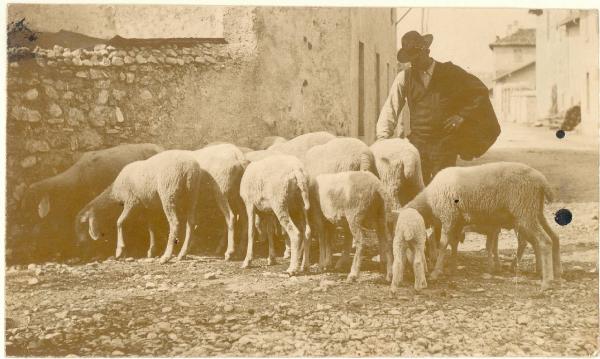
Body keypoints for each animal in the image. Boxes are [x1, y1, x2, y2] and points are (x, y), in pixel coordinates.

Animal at [406, 162, 560, 292]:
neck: (428, 202)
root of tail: (541, 180)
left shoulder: (449, 216)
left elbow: (443, 245)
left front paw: (436, 272)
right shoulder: (457, 222)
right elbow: (454, 245)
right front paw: (453, 268)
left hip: (525, 211)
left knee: (544, 241)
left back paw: (547, 282)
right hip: (535, 211)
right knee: (554, 237)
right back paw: (556, 272)